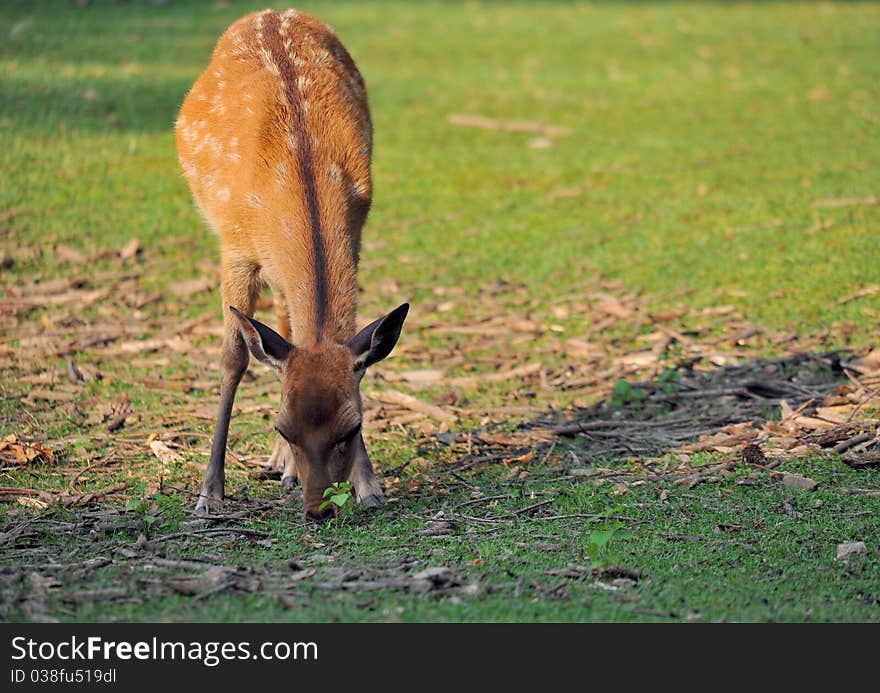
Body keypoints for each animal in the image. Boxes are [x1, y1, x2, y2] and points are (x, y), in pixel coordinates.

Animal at [175, 9, 410, 520]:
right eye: (283, 426)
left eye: (352, 427)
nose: (318, 508)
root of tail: (267, 12)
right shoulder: (235, 247)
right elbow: (233, 358)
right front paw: (209, 492)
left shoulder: (357, 229)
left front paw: (369, 486)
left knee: (285, 321)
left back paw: (282, 469)